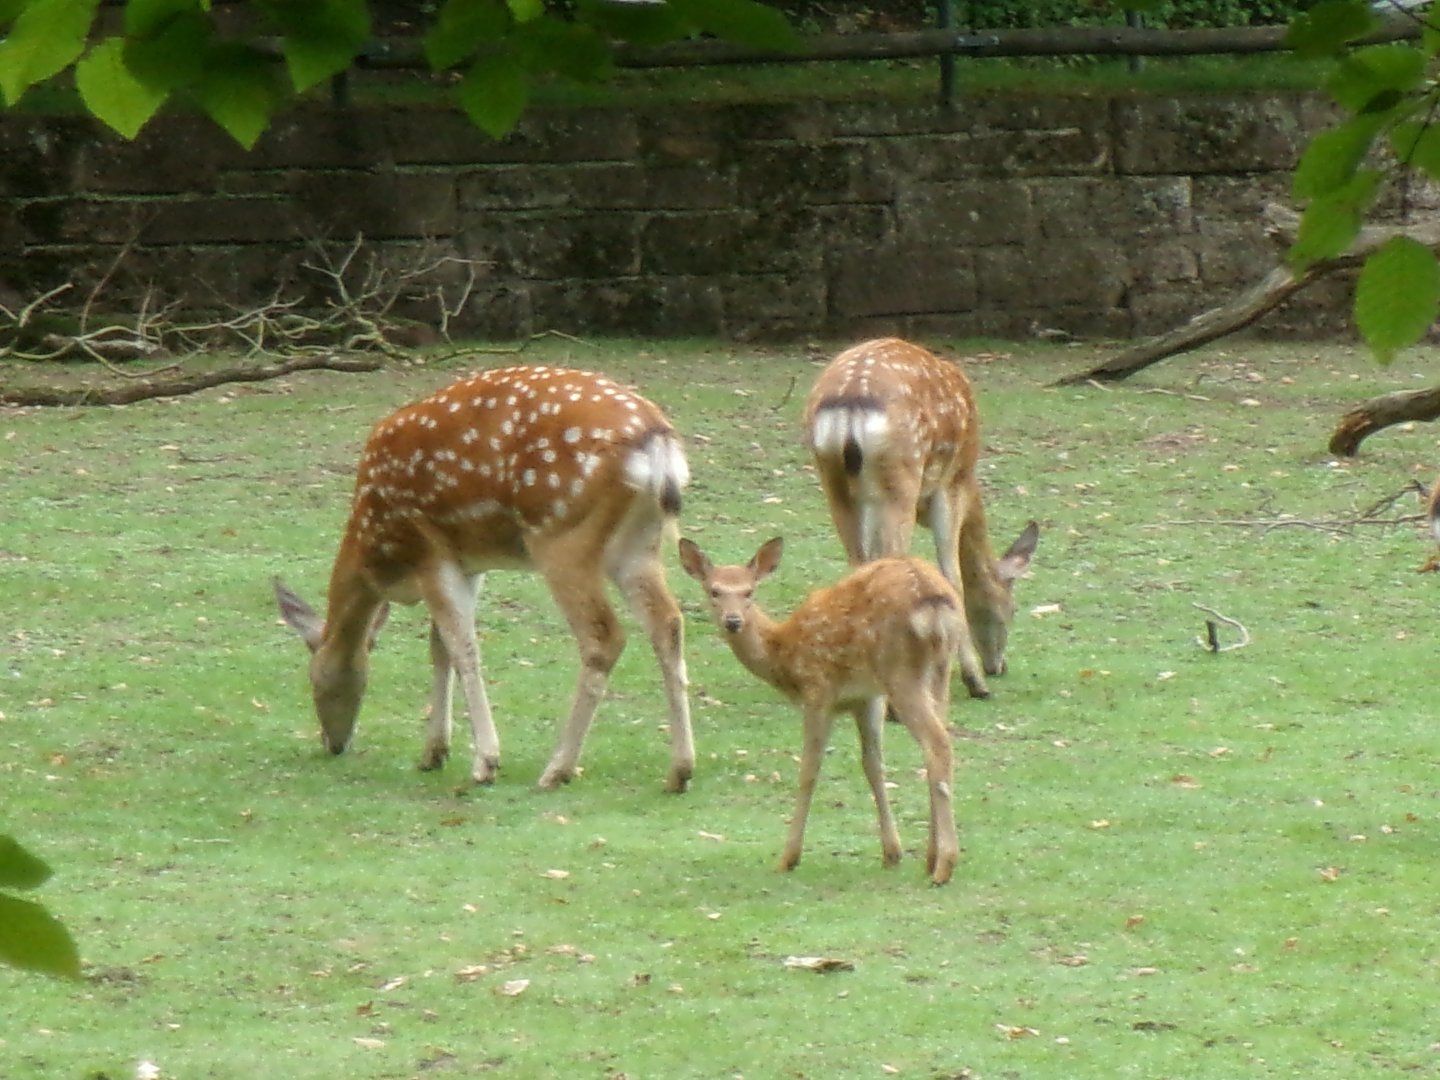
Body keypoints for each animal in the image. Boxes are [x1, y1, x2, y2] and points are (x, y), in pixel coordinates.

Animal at [273, 365, 696, 793]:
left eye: (313, 678)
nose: (333, 743)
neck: (376, 551)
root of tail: (656, 441)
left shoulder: (429, 551)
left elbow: (463, 647)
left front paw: (485, 761)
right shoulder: (469, 562)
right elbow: (440, 646)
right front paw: (433, 753)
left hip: (560, 534)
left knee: (603, 637)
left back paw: (557, 769)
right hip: (638, 544)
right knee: (668, 622)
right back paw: (679, 771)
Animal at [678, 536, 964, 885]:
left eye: (749, 591)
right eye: (714, 591)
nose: (733, 622)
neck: (783, 654)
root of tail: (933, 599)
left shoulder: (817, 689)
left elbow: (809, 771)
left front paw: (788, 857)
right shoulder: (867, 698)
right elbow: (873, 765)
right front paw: (892, 852)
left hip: (899, 669)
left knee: (937, 744)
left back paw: (945, 866)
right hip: (939, 668)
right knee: (937, 743)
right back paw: (931, 857)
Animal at [804, 337, 1038, 700]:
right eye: (1012, 609)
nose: (998, 667)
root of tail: (849, 405)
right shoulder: (950, 487)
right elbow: (952, 577)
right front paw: (975, 682)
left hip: (834, 484)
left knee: (859, 567)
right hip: (900, 477)